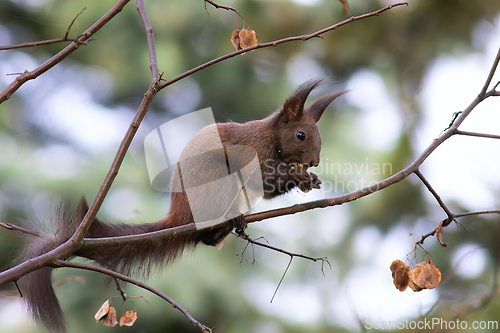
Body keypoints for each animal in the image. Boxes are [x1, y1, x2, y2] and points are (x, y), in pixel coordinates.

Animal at [15, 79, 344, 330]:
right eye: (300, 135)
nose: (314, 162)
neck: (271, 137)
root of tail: (180, 215)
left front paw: (311, 179)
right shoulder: (252, 151)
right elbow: (264, 180)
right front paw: (299, 175)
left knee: (206, 240)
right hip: (217, 184)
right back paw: (229, 221)